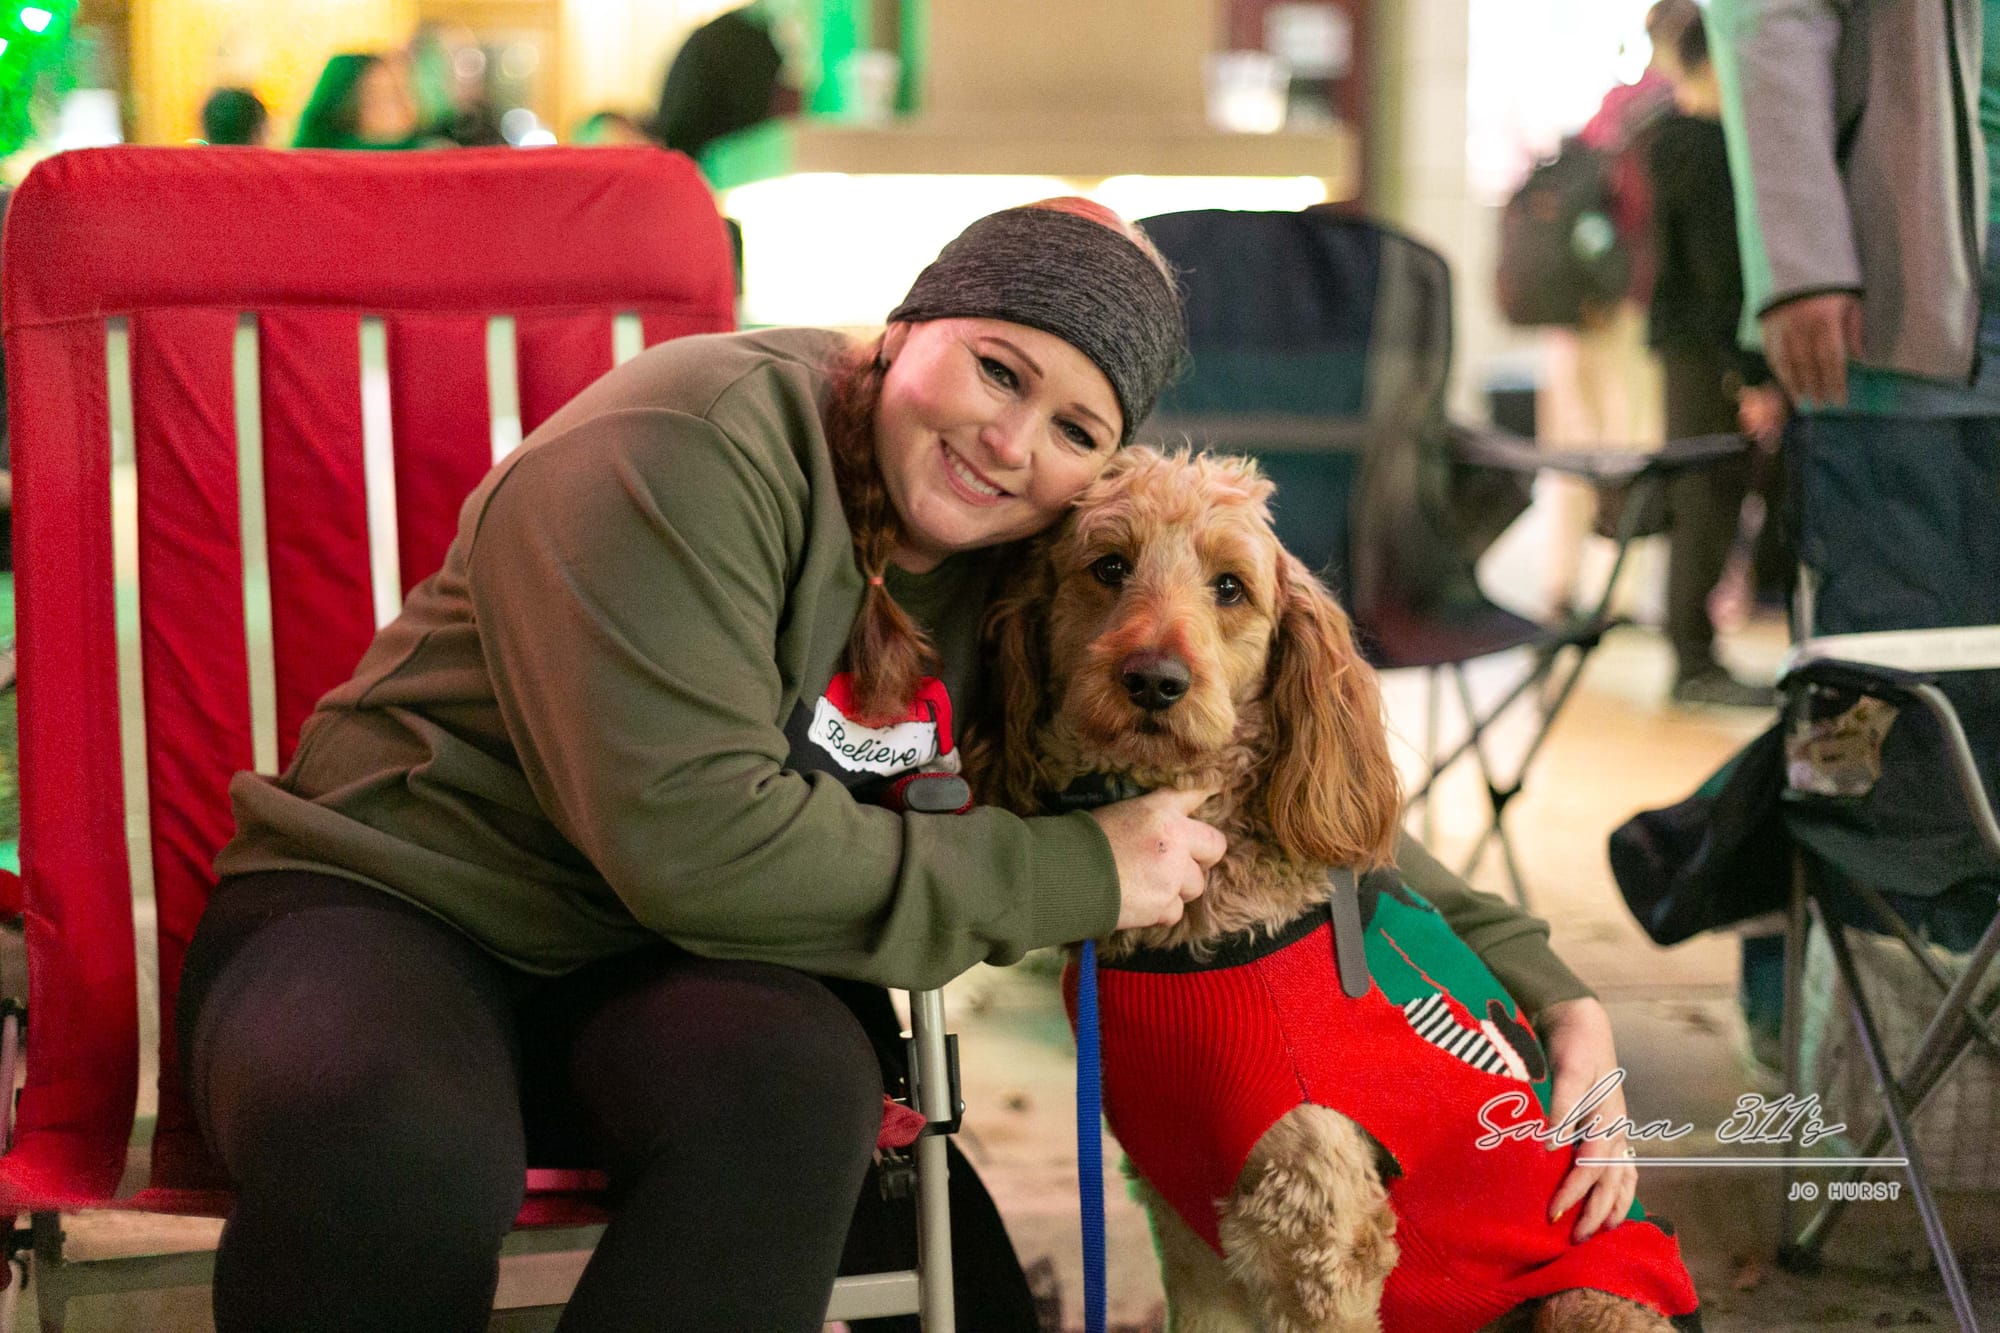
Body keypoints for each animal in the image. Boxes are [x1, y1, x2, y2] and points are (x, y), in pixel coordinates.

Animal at [973, 448, 1697, 1333]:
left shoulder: (1318, 1232)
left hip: (1583, 1300)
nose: (1155, 681)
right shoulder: (1190, 1221)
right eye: (1109, 566)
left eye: (1229, 587)